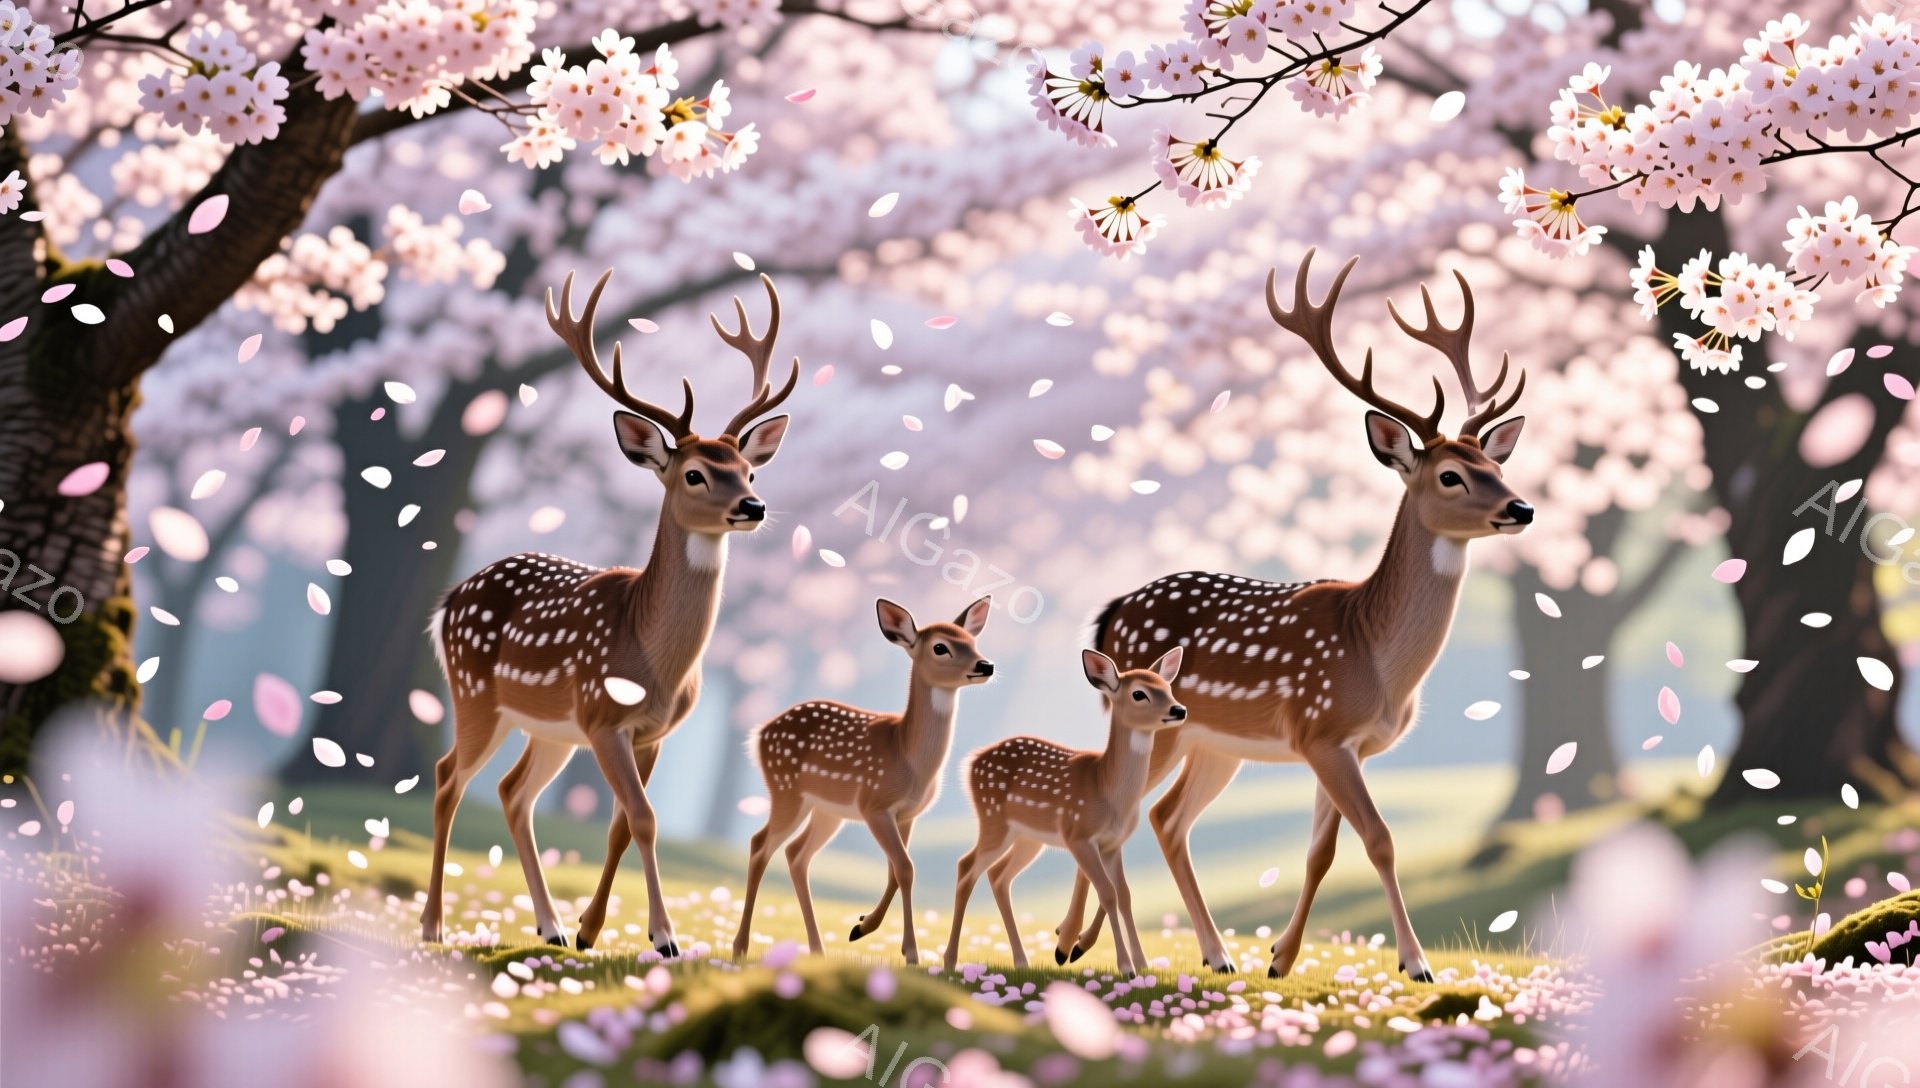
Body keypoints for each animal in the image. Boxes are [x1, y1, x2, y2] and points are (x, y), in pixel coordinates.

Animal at [421, 268, 797, 956]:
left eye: (750, 469)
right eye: (695, 474)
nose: (753, 507)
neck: (656, 659)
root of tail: (450, 600)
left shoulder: (652, 731)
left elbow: (625, 823)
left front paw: (592, 931)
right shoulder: (603, 718)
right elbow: (645, 817)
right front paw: (664, 937)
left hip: (548, 727)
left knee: (512, 792)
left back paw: (549, 928)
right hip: (475, 694)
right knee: (446, 777)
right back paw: (433, 924)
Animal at [731, 596, 995, 964]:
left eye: (972, 641)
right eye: (940, 647)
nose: (986, 665)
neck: (908, 757)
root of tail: (759, 733)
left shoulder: (907, 814)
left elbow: (895, 871)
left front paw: (862, 927)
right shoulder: (875, 804)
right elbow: (905, 868)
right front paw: (911, 952)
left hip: (827, 810)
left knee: (797, 854)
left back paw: (818, 950)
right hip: (786, 790)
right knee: (760, 845)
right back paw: (740, 947)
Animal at [941, 647, 1186, 977]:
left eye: (1167, 688)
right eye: (1139, 693)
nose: (1179, 710)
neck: (1107, 789)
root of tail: (970, 763)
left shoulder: (1113, 843)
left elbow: (1124, 895)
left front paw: (1143, 964)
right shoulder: (1078, 834)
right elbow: (1107, 892)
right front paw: (1125, 966)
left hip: (1029, 838)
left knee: (998, 875)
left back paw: (1021, 960)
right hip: (994, 820)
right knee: (967, 867)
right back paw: (950, 960)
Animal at [1052, 249, 1531, 982]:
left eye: (1496, 463)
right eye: (1450, 474)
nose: (1522, 508)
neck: (1376, 655)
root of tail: (1111, 614)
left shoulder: (1340, 744)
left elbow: (1321, 851)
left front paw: (1281, 958)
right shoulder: (1323, 730)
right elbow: (1380, 839)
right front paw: (1416, 963)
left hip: (1209, 741)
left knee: (1166, 819)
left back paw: (1203, 951)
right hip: (1152, 723)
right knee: (1125, 807)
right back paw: (1076, 942)